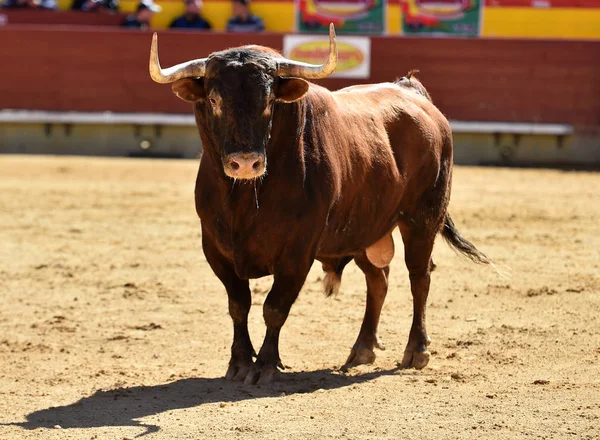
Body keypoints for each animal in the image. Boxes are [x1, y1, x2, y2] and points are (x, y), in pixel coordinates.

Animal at [148, 24, 490, 384]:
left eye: (269, 100)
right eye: (214, 99)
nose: (245, 163)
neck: (245, 200)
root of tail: (415, 96)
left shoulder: (298, 251)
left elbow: (275, 307)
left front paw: (265, 365)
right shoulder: (215, 247)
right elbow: (238, 304)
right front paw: (239, 362)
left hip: (423, 218)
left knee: (419, 277)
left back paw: (416, 350)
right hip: (362, 230)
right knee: (378, 280)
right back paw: (362, 348)